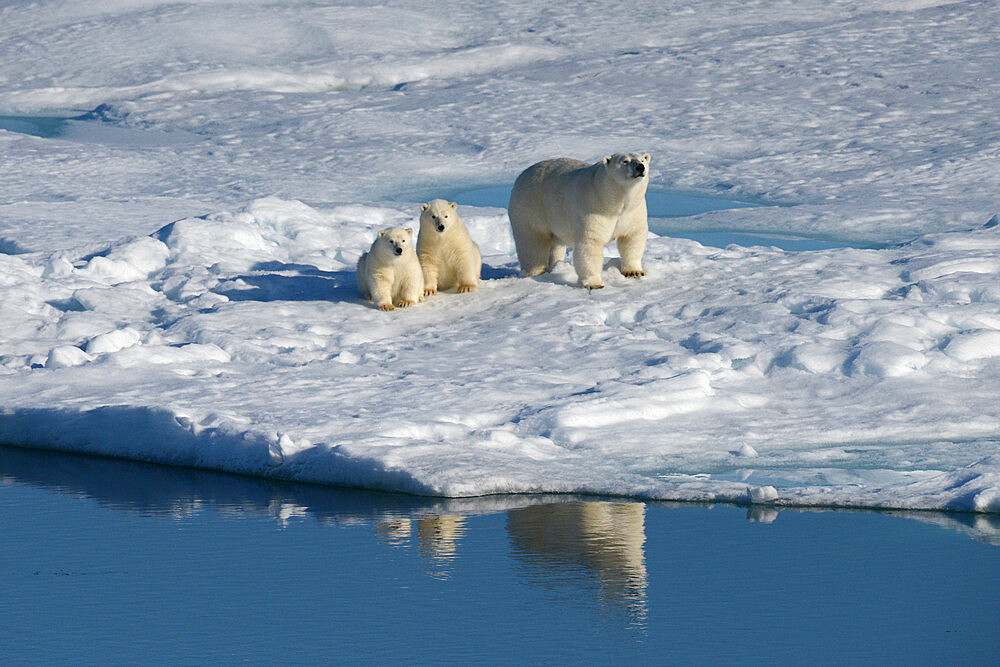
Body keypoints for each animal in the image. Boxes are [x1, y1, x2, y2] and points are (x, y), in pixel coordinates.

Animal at [508, 154, 648, 290]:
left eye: (642, 160)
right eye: (625, 161)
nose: (640, 167)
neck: (614, 202)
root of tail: (521, 175)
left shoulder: (632, 213)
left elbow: (632, 238)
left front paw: (634, 272)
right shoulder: (593, 207)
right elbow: (591, 243)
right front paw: (594, 284)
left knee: (556, 244)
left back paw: (556, 266)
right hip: (531, 208)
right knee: (532, 242)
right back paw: (535, 272)